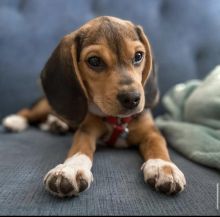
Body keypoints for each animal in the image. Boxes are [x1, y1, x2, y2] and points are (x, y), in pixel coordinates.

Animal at [3, 16, 186, 198]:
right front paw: (71, 168)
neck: (117, 121)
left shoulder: (151, 131)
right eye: (94, 61)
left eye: (139, 56)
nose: (132, 99)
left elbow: (158, 146)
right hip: (45, 105)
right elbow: (80, 148)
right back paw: (16, 121)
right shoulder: (87, 130)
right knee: (29, 112)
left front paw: (163, 167)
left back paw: (56, 124)